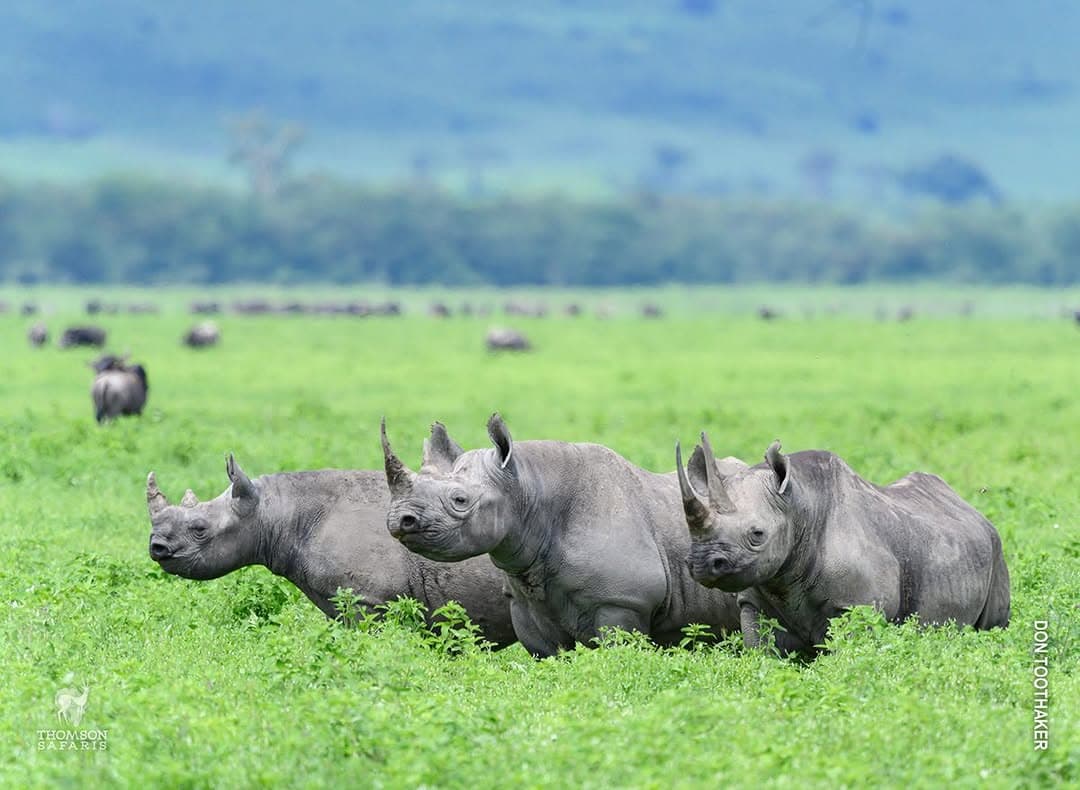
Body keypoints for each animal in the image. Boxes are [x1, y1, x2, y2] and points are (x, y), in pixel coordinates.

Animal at [381, 415, 743, 658]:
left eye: (459, 500)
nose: (400, 519)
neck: (529, 492)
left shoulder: (623, 602)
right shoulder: (525, 602)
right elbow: (549, 657)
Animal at [676, 435, 1011, 656]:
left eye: (757, 534)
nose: (703, 564)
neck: (799, 507)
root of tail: (970, 507)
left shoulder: (858, 604)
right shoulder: (755, 598)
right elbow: (762, 651)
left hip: (996, 550)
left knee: (995, 626)